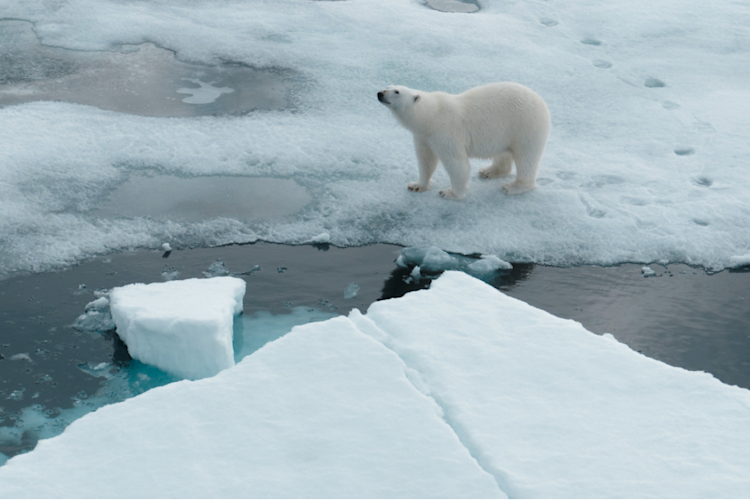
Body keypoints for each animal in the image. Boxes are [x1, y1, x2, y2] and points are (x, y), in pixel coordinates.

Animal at [377, 82, 550, 199]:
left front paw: (451, 193)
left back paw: (514, 187)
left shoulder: (445, 132)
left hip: (525, 127)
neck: (431, 115)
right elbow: (426, 160)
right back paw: (489, 171)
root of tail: (542, 102)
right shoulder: (424, 136)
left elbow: (457, 164)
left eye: (397, 91)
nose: (380, 93)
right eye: (388, 85)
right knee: (504, 154)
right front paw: (417, 185)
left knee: (526, 158)